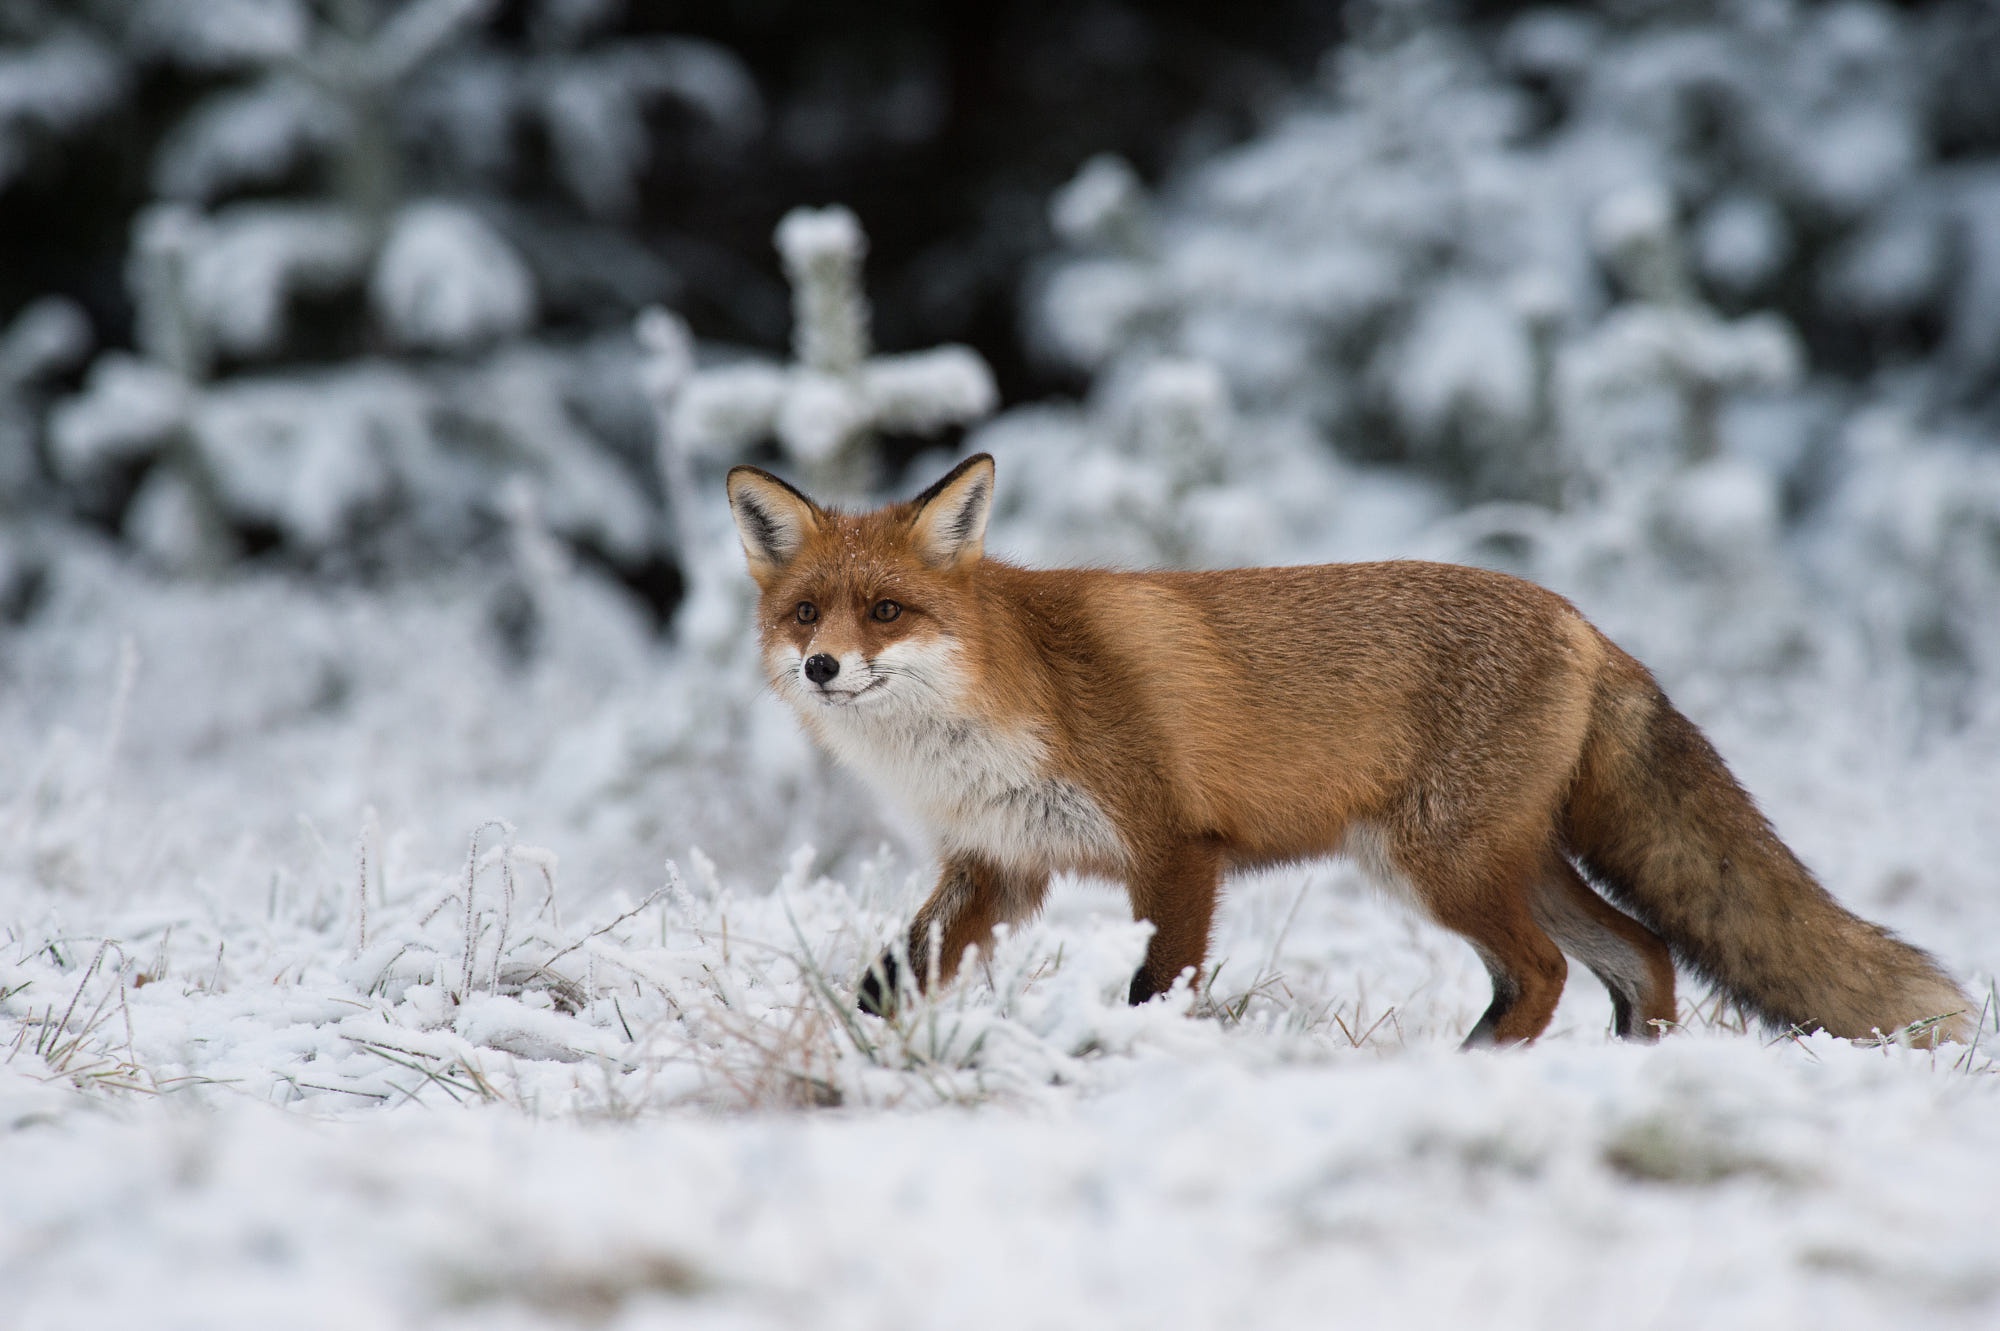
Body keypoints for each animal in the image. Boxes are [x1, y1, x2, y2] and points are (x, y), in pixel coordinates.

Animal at [728, 455, 1976, 1047]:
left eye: (886, 610)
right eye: (806, 613)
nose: (823, 667)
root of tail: (1582, 619)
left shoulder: (1174, 848)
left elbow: (1151, 990)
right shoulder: (997, 864)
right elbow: (883, 981)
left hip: (1440, 866)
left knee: (1547, 972)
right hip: (1491, 861)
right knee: (1640, 954)